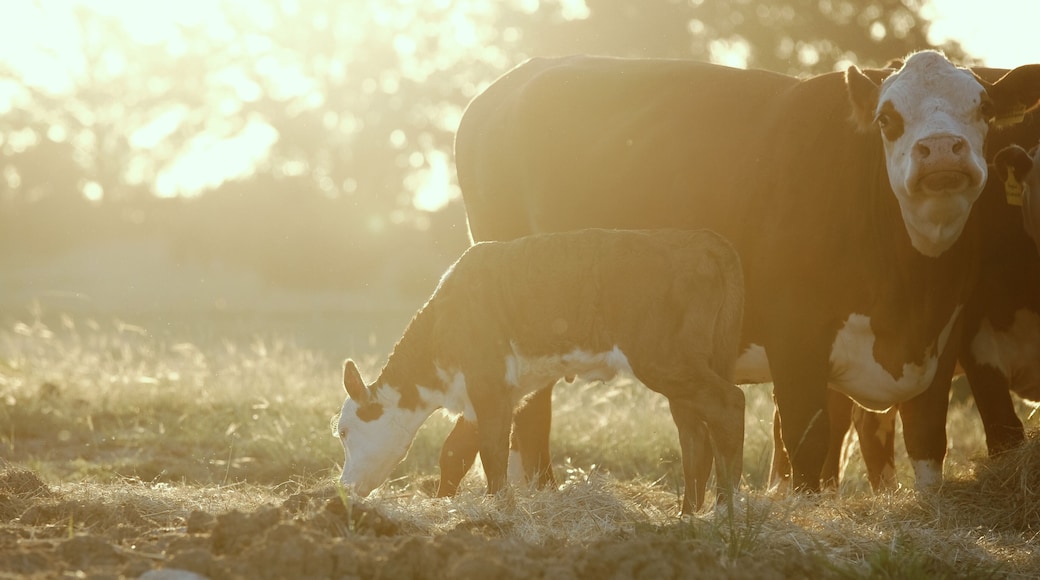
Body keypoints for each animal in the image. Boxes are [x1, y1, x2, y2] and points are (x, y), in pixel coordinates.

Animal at [333, 228, 746, 514]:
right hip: (685, 370)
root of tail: (699, 240)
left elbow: (493, 454)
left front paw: (499, 509)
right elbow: (455, 453)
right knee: (694, 434)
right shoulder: (492, 394)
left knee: (729, 403)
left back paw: (724, 511)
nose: (344, 487)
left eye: (344, 431)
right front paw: (445, 504)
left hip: (663, 359)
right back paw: (687, 515)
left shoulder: (488, 385)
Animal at [438, 51, 1040, 494]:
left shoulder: (945, 339)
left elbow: (928, 444)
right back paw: (539, 494)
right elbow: (808, 447)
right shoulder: (797, 341)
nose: (940, 149)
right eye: (888, 119)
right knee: (528, 415)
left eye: (984, 108)